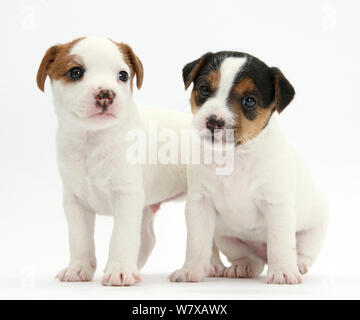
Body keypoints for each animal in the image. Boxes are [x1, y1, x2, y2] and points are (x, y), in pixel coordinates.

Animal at [37, 36, 197, 286]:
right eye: (75, 72)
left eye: (122, 75)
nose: (106, 93)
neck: (93, 139)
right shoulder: (75, 201)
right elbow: (79, 238)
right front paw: (78, 268)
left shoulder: (126, 196)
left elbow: (122, 236)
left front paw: (120, 270)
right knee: (147, 239)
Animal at [170, 52, 328, 284]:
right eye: (205, 89)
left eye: (249, 101)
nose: (213, 122)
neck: (234, 155)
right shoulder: (200, 203)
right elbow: (197, 243)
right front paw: (190, 270)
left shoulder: (276, 204)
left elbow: (280, 242)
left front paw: (282, 271)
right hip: (226, 237)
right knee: (252, 259)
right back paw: (243, 266)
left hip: (313, 230)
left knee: (301, 251)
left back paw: (297, 264)